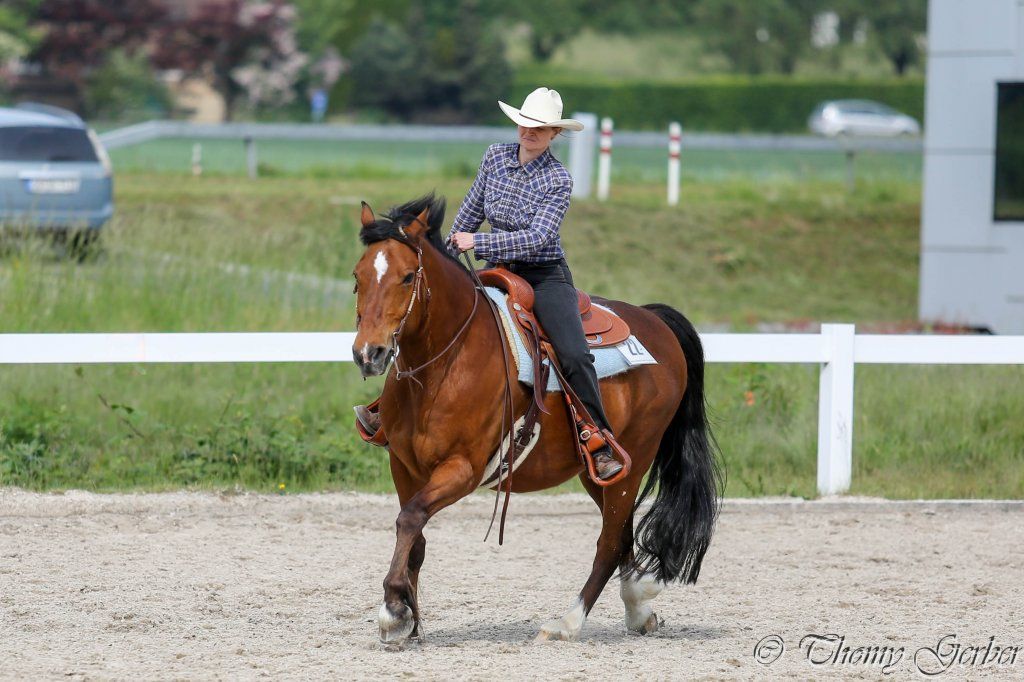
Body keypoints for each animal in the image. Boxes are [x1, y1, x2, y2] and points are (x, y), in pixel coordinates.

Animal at [351, 194, 722, 644]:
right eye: (358, 276)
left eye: (407, 277)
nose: (368, 354)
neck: (444, 365)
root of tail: (655, 321)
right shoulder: (404, 466)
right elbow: (414, 535)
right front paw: (409, 617)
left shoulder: (463, 468)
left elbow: (409, 519)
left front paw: (393, 609)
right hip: (599, 473)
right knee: (621, 534)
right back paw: (638, 609)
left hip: (634, 461)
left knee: (608, 542)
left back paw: (568, 622)